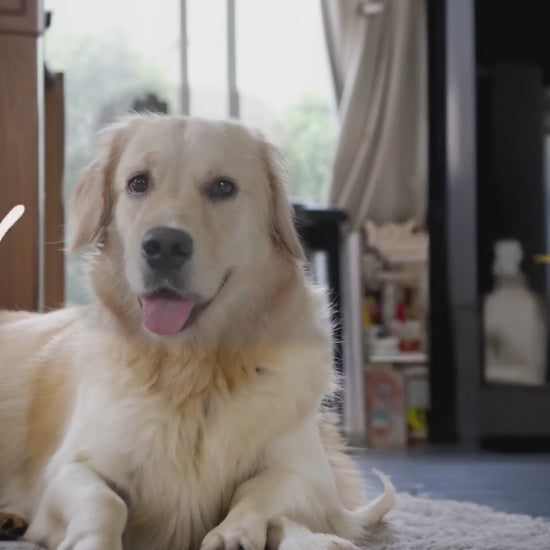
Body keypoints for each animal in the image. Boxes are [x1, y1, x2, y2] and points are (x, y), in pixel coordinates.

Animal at [0, 114, 394, 550]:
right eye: (138, 182)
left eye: (223, 187)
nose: (164, 245)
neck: (189, 367)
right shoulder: (70, 467)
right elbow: (106, 502)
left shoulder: (308, 475)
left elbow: (259, 492)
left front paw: (235, 533)